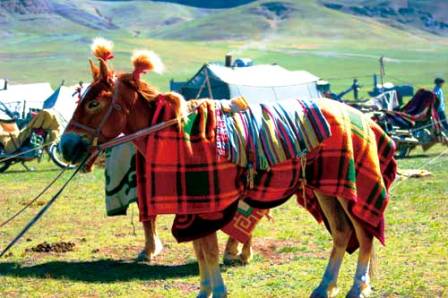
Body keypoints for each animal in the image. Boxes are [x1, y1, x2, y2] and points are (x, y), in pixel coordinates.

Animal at [58, 50, 396, 296]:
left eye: (93, 102)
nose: (66, 145)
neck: (176, 134)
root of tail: (365, 119)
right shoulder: (192, 207)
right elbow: (201, 251)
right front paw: (205, 290)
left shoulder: (205, 206)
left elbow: (207, 250)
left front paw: (216, 290)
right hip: (326, 187)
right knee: (341, 233)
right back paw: (325, 286)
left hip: (351, 190)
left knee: (364, 234)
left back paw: (357, 287)